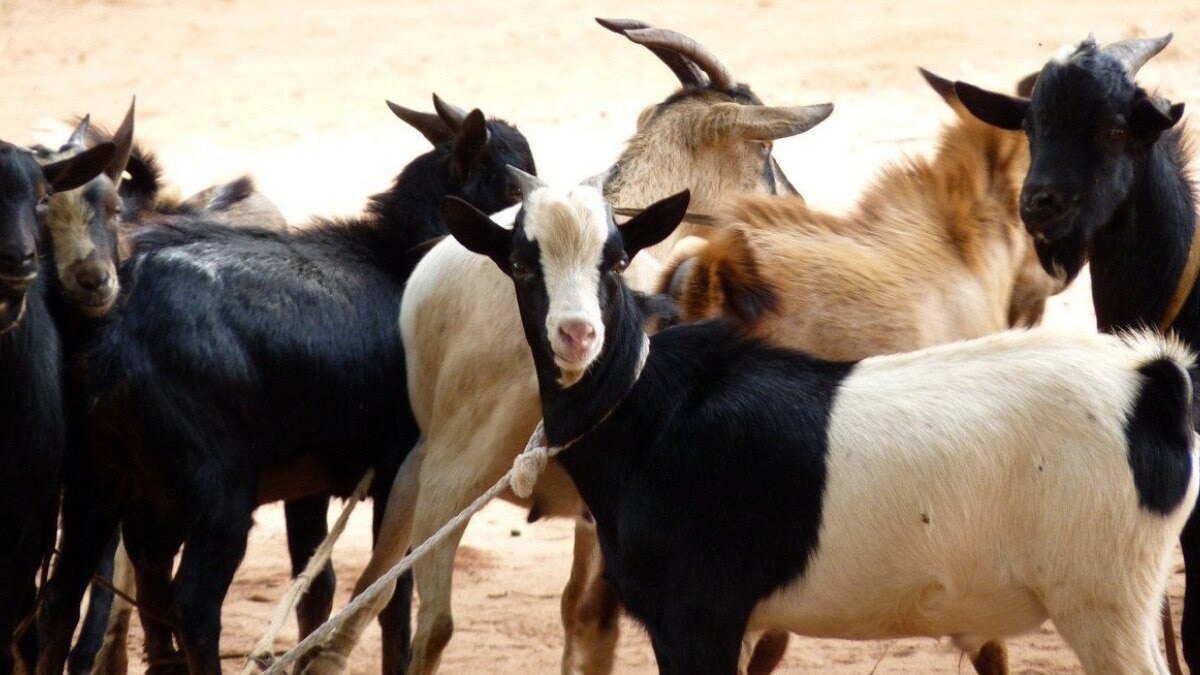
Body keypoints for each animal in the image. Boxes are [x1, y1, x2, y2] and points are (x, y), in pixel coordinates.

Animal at [34, 96, 535, 675]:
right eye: (514, 187)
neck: (397, 262)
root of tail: (117, 326)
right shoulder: (401, 467)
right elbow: (391, 592)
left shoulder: (310, 484)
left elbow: (317, 587)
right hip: (218, 490)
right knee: (193, 603)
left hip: (97, 473)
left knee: (65, 597)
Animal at [298, 19, 831, 675]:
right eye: (764, 151)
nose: (796, 208)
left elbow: (582, 615)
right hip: (457, 466)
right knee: (434, 624)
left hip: (421, 462)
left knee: (365, 599)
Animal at [444, 172, 1199, 675]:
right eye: (521, 263)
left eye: (617, 258)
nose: (578, 335)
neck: (651, 408)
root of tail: (1150, 379)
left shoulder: (697, 614)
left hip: (1105, 603)